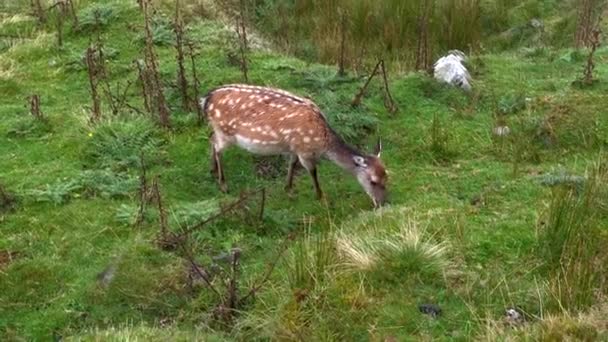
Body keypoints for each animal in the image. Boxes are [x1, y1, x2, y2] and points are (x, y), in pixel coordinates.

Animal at [202, 84, 388, 207]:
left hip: (219, 129)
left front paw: (289, 189)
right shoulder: (304, 150)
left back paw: (212, 170)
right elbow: (313, 172)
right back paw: (223, 184)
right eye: (372, 181)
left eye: (387, 177)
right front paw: (322, 198)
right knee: (217, 148)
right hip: (226, 131)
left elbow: (292, 164)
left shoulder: (294, 148)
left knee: (211, 139)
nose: (382, 203)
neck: (323, 143)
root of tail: (206, 99)